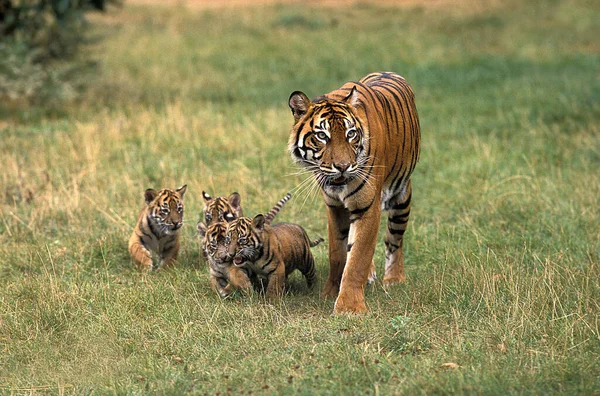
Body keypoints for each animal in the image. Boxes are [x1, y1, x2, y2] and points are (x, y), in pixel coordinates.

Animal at [288, 70, 420, 312]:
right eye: (322, 136)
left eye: (351, 134)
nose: (342, 166)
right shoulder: (334, 207)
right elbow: (338, 253)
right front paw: (330, 292)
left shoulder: (367, 206)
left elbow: (358, 257)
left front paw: (349, 307)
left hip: (402, 197)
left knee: (394, 239)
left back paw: (394, 279)